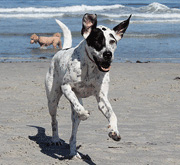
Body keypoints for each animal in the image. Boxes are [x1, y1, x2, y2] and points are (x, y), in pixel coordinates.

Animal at [45, 13, 131, 159]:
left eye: (112, 41)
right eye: (97, 40)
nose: (108, 54)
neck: (91, 68)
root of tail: (61, 50)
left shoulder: (102, 98)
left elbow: (113, 115)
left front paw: (114, 131)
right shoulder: (66, 87)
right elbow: (79, 108)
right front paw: (85, 114)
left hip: (73, 117)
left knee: (73, 135)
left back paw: (73, 152)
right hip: (52, 99)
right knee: (54, 119)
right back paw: (55, 139)